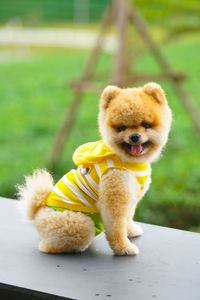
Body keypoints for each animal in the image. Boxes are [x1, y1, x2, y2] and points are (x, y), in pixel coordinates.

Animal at [17, 83, 172, 256]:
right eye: (121, 128)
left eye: (146, 125)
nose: (134, 137)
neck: (129, 161)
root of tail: (37, 211)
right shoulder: (114, 193)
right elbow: (117, 225)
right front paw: (124, 248)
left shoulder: (131, 197)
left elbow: (127, 217)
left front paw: (131, 231)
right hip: (81, 223)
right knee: (49, 245)